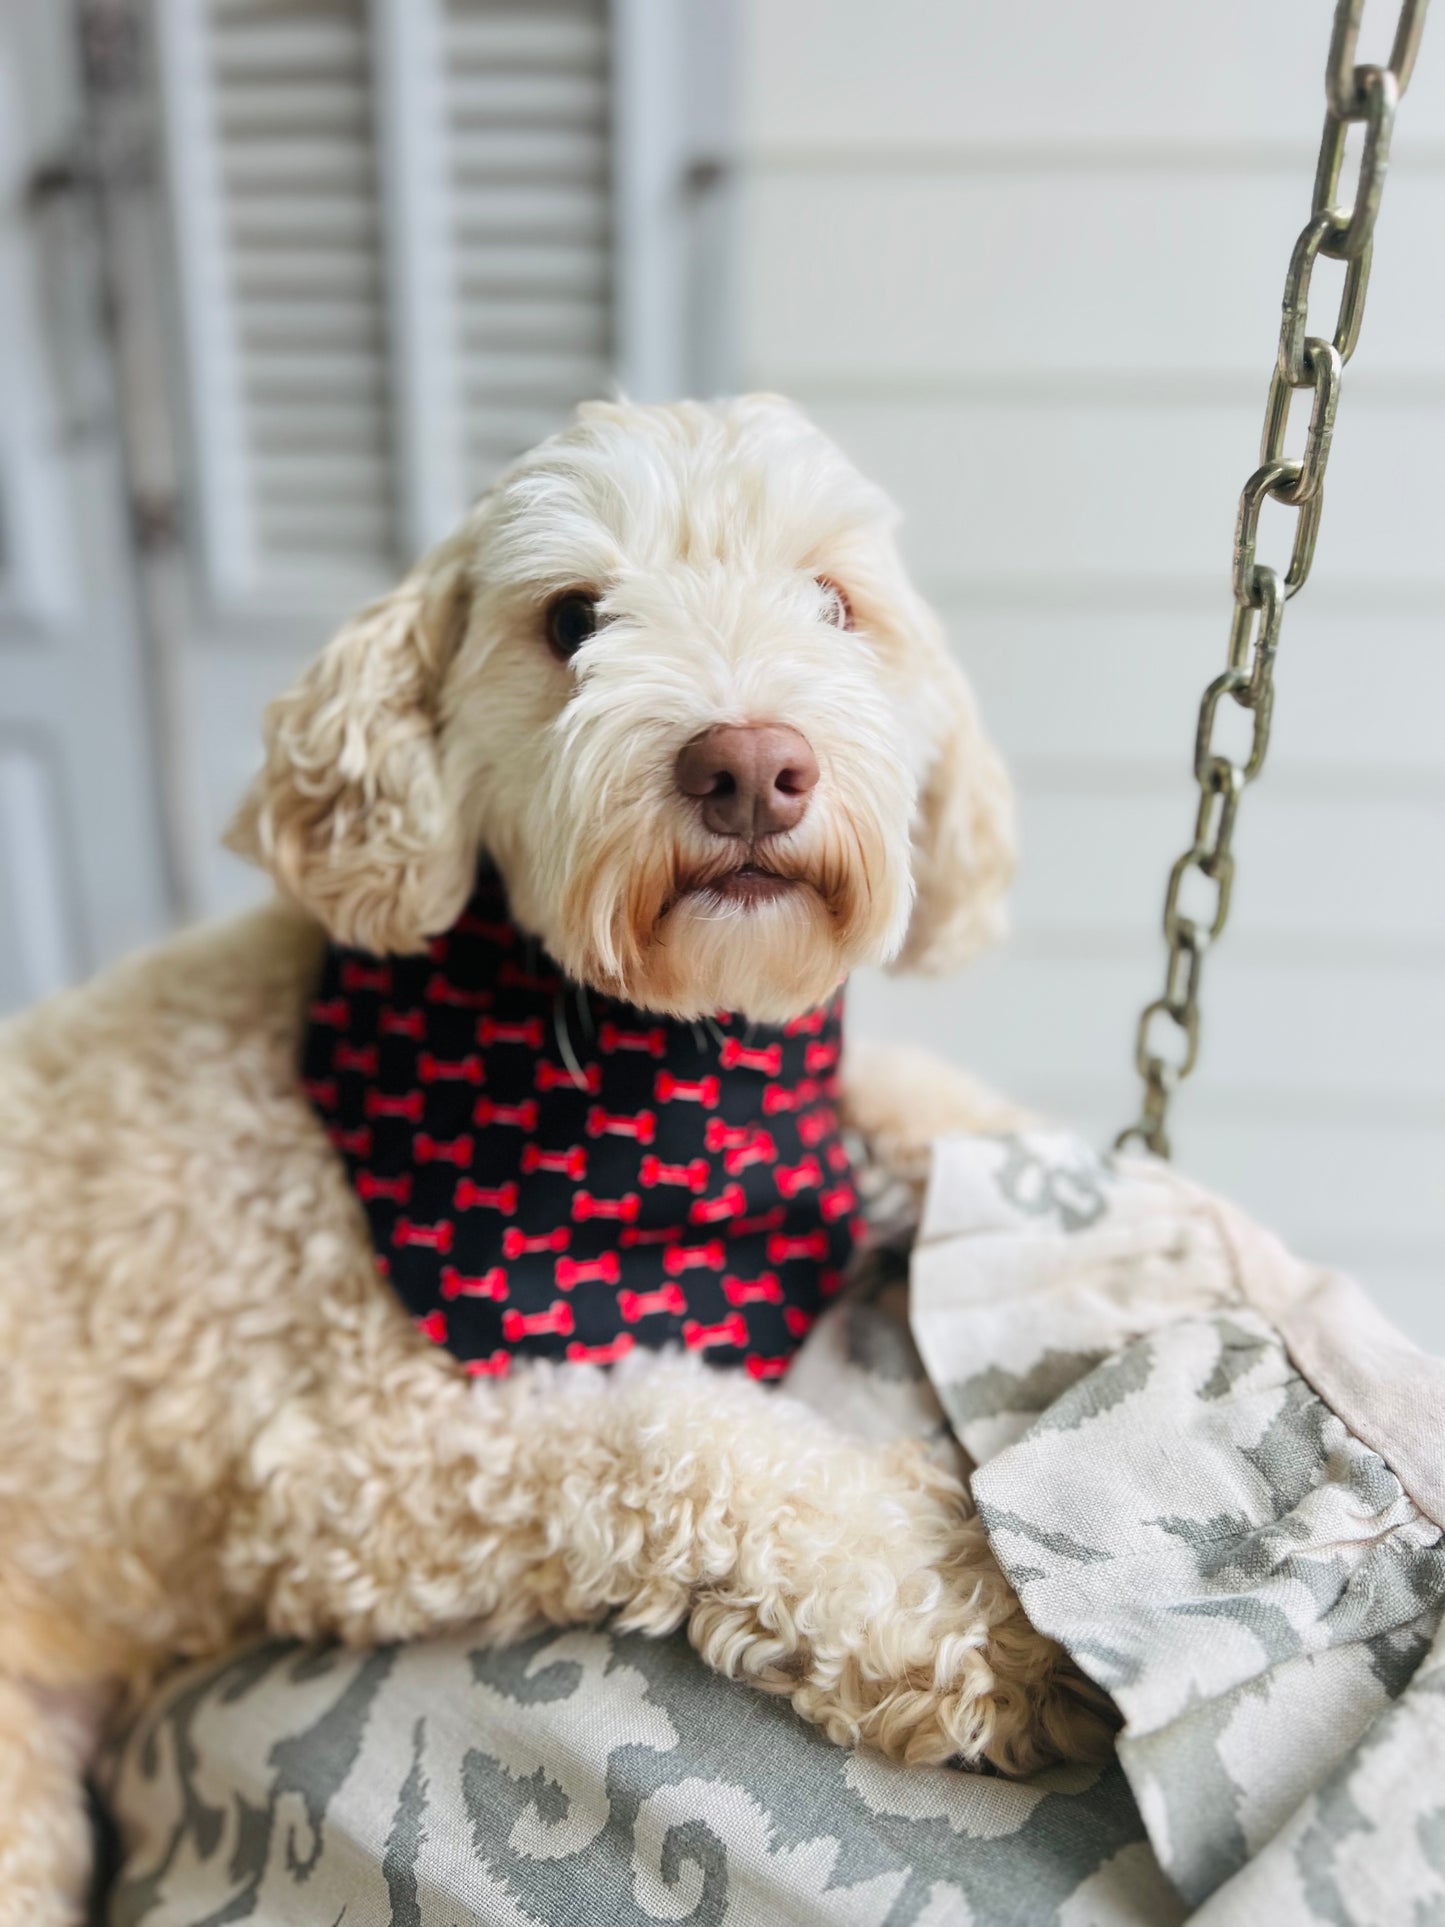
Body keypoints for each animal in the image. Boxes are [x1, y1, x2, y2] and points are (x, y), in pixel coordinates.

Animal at [0, 398, 1109, 1919]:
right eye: (572, 618)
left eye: (835, 604)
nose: (748, 766)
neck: (663, 1064)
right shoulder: (346, 1465)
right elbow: (672, 1433)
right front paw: (964, 1603)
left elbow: (913, 1103)